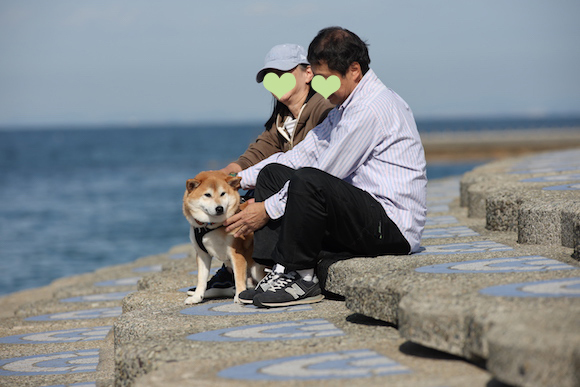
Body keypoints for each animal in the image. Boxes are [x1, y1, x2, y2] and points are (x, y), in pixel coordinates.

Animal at [181, 171, 266, 304]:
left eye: (223, 193)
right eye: (207, 195)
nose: (219, 208)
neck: (211, 227)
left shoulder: (236, 254)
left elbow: (239, 277)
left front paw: (239, 296)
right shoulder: (202, 254)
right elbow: (201, 279)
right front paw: (197, 297)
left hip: (256, 268)